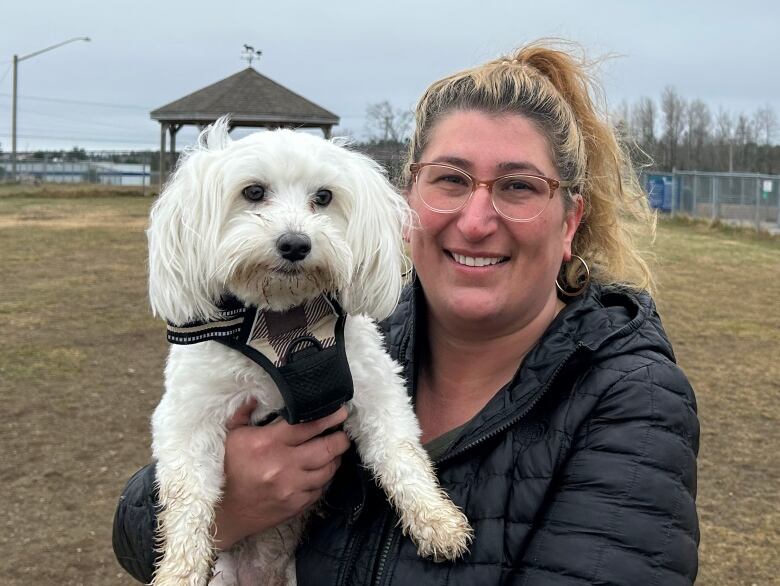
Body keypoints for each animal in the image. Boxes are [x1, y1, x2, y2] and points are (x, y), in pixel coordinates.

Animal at [149, 120, 472, 584]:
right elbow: (187, 494)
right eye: (253, 192)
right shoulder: (188, 416)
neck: (286, 318)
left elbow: (400, 451)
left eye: (323, 197)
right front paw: (178, 571)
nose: (295, 244)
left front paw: (436, 520)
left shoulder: (374, 386)